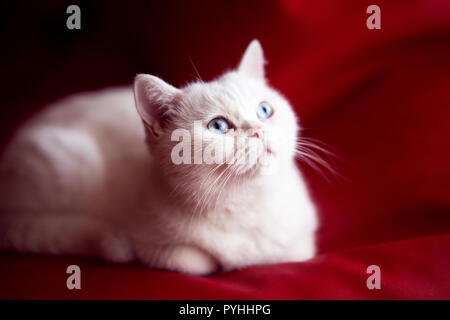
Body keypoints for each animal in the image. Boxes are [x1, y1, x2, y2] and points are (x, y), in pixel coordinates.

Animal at [0, 40, 316, 276]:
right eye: (218, 126)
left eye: (264, 110)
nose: (259, 131)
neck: (246, 205)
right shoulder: (150, 245)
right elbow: (197, 261)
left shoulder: (303, 240)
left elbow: (293, 253)